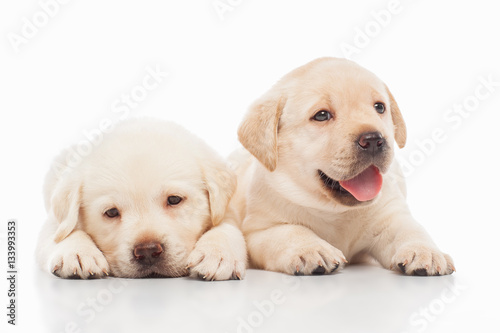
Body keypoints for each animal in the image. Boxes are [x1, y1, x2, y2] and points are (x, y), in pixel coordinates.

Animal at [36, 118, 247, 278]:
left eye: (174, 200)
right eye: (111, 212)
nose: (148, 252)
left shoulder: (227, 210)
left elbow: (226, 227)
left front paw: (217, 254)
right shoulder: (54, 222)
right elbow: (63, 231)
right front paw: (77, 252)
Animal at [232, 57, 456, 274]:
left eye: (379, 107)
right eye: (322, 115)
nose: (373, 140)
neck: (336, 211)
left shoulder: (391, 215)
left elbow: (411, 230)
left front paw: (426, 251)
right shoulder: (259, 231)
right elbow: (290, 231)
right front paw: (312, 249)